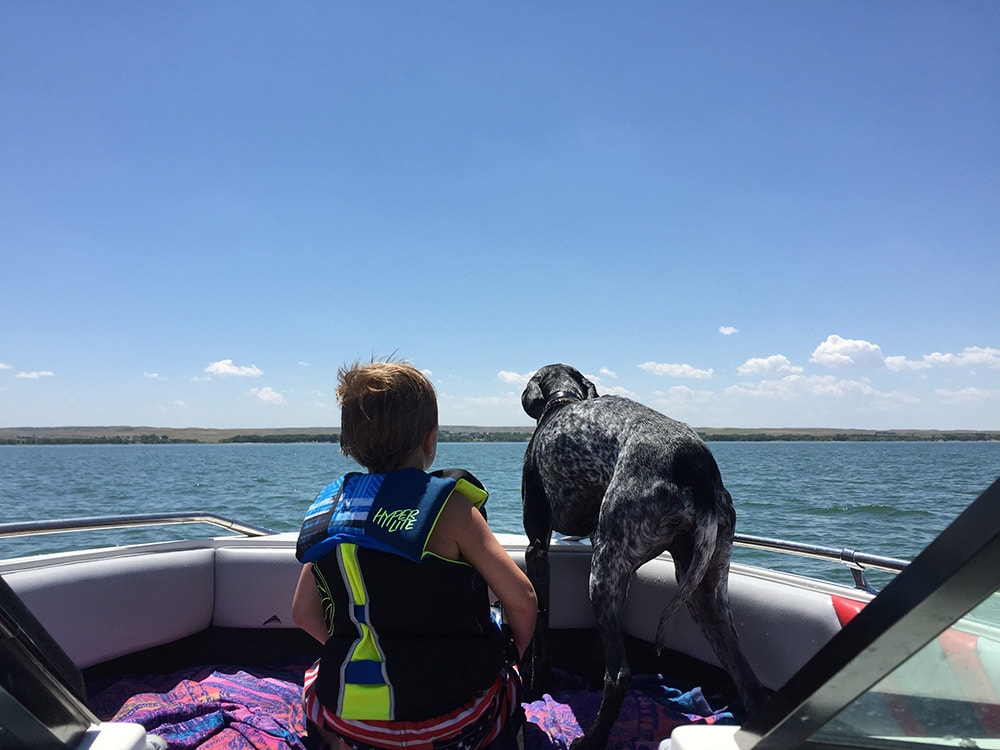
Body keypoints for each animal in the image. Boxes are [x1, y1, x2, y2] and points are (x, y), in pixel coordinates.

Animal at [520, 362, 760, 748]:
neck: (562, 401)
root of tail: (696, 466)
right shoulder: (602, 548)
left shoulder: (537, 548)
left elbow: (541, 626)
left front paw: (537, 683)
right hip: (702, 588)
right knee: (749, 683)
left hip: (604, 572)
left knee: (619, 675)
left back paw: (591, 739)